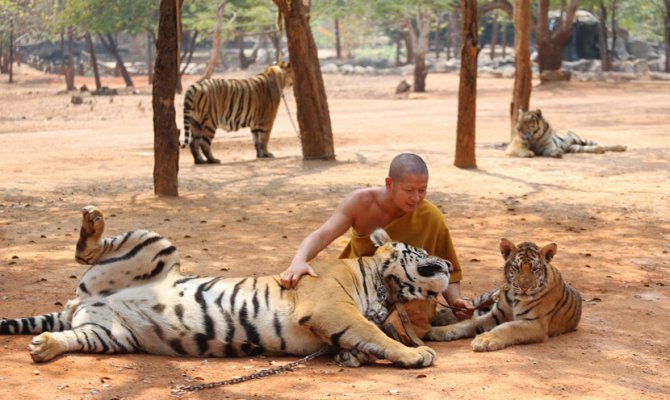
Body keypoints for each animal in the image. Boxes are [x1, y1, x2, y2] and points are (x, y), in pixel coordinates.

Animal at [1, 206, 452, 368]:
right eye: (424, 251)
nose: (448, 262)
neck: (386, 289)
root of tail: (84, 300)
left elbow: (364, 339)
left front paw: (351, 357)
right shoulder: (331, 307)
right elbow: (374, 332)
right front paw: (417, 353)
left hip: (109, 334)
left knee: (72, 336)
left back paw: (44, 347)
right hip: (155, 244)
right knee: (89, 249)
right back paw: (92, 222)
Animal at [430, 239, 584, 352]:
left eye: (535, 269)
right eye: (516, 268)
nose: (524, 287)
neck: (515, 298)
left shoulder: (535, 324)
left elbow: (507, 327)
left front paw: (485, 340)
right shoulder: (495, 314)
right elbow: (467, 323)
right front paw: (436, 331)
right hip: (485, 298)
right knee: (466, 308)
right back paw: (437, 317)